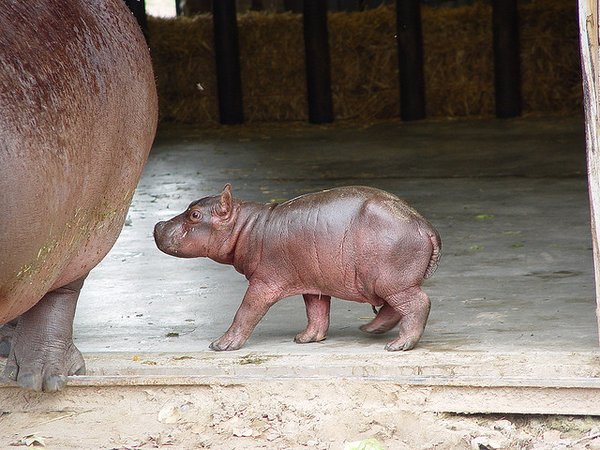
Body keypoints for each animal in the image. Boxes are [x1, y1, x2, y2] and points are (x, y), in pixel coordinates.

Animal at [155, 185, 440, 352]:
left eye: (194, 215)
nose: (157, 225)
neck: (246, 227)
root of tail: (424, 224)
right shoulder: (313, 282)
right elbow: (316, 312)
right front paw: (305, 339)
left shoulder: (263, 283)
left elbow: (246, 311)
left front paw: (220, 345)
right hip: (383, 280)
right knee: (394, 307)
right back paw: (370, 329)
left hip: (391, 280)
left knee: (417, 303)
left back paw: (397, 345)